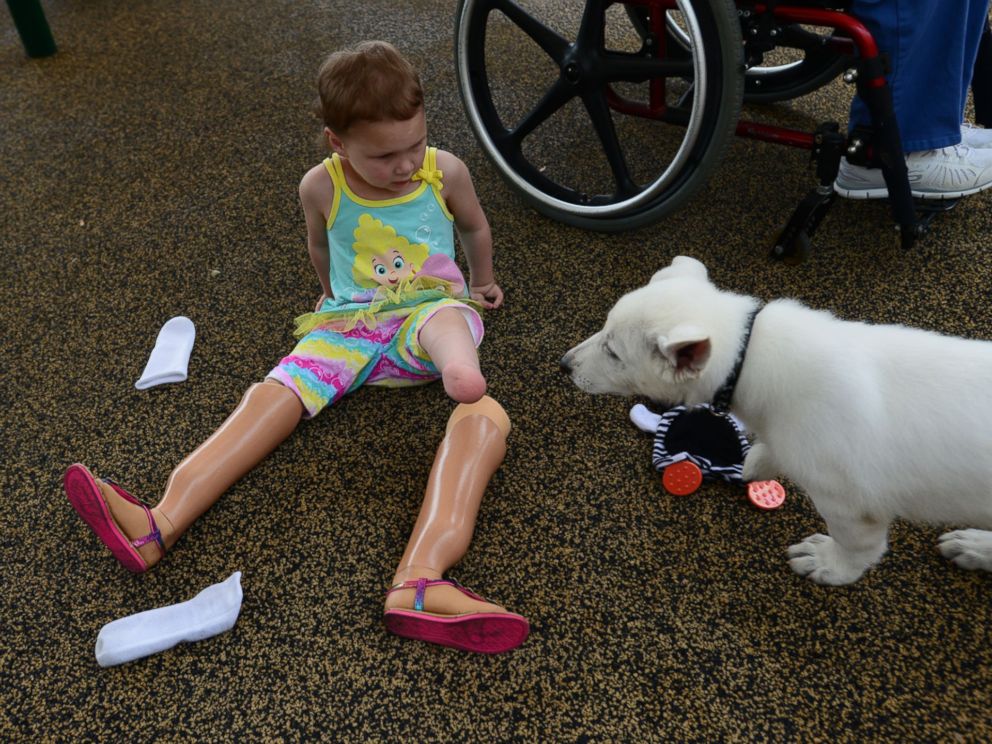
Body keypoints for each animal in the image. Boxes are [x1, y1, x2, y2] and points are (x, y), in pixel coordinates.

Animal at [560, 258, 992, 584]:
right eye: (604, 329)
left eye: (613, 352)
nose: (564, 365)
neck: (748, 354)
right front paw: (755, 465)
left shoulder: (850, 503)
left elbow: (858, 546)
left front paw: (830, 566)